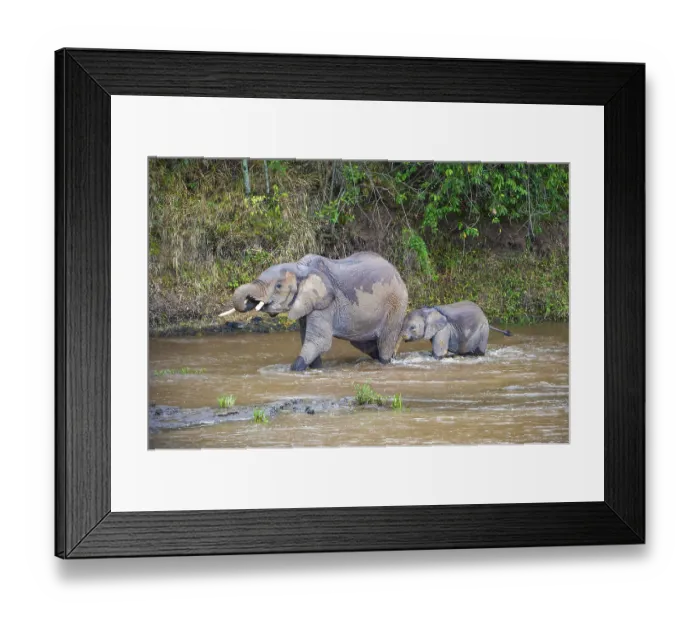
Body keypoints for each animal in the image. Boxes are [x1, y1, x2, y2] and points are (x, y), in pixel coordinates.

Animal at [219, 252, 409, 371]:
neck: (300, 268)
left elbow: (319, 341)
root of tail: (398, 274)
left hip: (396, 305)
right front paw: (316, 369)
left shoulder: (325, 303)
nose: (251, 300)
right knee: (367, 345)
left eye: (278, 286)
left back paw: (385, 362)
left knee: (384, 343)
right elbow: (307, 340)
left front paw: (293, 370)